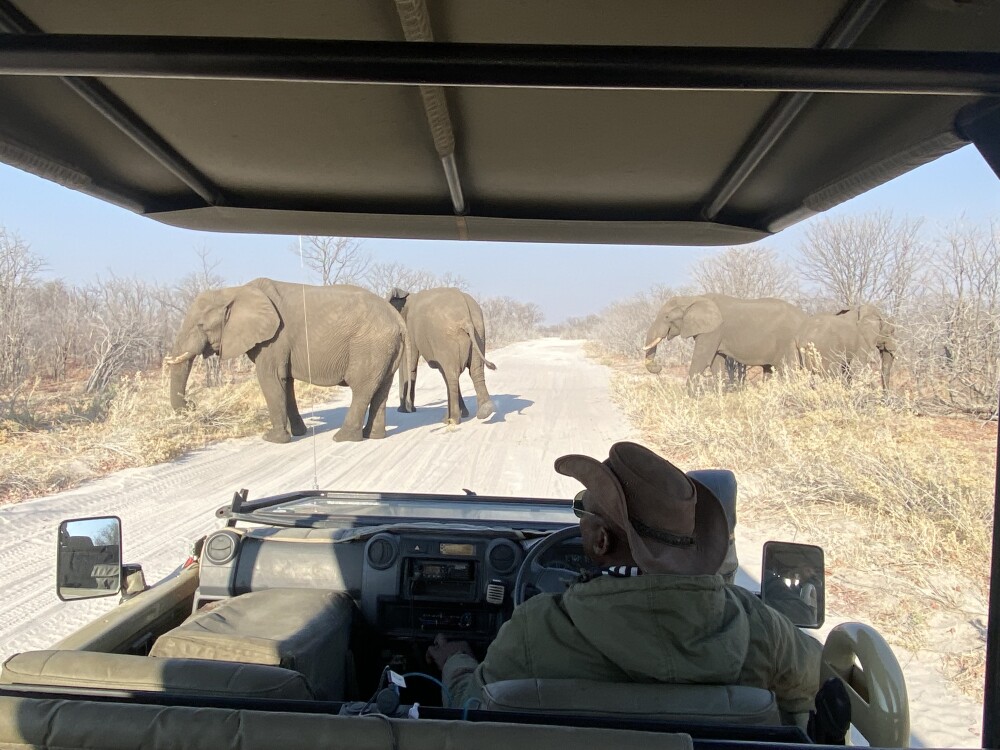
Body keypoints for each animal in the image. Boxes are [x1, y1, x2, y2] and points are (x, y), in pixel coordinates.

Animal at [166, 278, 406, 444]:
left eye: (201, 326)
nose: (192, 405)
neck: (235, 290)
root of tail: (398, 319)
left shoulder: (274, 339)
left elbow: (270, 379)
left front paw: (272, 439)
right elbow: (286, 382)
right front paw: (299, 433)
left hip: (369, 345)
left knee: (362, 389)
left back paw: (343, 438)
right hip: (386, 349)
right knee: (381, 390)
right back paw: (373, 436)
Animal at [389, 287, 496, 425]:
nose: (405, 409)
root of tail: (466, 319)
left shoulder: (410, 328)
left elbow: (410, 363)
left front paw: (404, 411)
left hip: (446, 338)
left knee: (452, 374)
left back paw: (451, 420)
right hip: (478, 332)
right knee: (475, 370)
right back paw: (485, 411)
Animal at [643, 294, 807, 388]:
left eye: (666, 317)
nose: (659, 367)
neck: (692, 298)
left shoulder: (713, 330)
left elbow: (701, 359)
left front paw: (690, 399)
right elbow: (716, 362)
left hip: (788, 341)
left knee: (788, 369)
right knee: (769, 370)